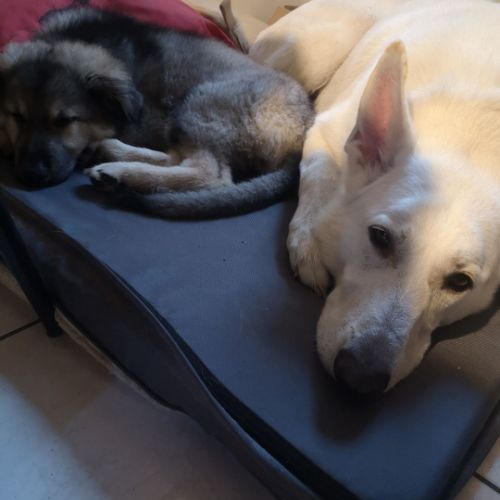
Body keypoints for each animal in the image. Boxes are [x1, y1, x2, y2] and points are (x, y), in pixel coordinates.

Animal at [0, 7, 313, 217]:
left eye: (65, 121)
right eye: (17, 117)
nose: (31, 174)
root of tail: (304, 129)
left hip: (199, 103)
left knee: (209, 174)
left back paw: (117, 171)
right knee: (178, 158)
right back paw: (110, 152)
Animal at [251, 0, 500, 394]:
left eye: (460, 282)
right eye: (379, 237)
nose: (361, 377)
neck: (473, 138)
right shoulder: (324, 132)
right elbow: (319, 176)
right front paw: (310, 243)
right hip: (315, 50)